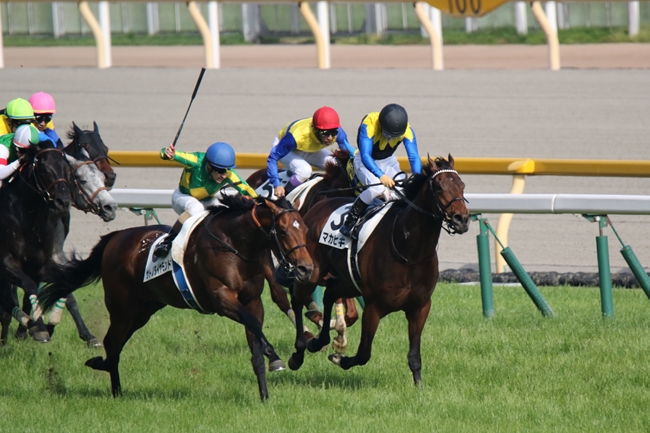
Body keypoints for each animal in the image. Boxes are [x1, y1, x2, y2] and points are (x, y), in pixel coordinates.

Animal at [39, 194, 312, 400]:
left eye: (306, 229)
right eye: (284, 231)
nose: (305, 268)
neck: (234, 245)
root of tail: (115, 237)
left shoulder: (252, 302)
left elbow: (255, 341)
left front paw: (265, 393)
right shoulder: (222, 299)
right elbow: (254, 325)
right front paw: (275, 355)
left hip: (144, 310)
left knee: (116, 343)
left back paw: (107, 373)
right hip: (122, 307)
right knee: (112, 342)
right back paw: (113, 386)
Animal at [286, 156, 468, 384]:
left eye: (462, 186)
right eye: (440, 187)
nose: (462, 219)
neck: (410, 251)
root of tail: (319, 206)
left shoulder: (420, 307)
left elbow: (414, 356)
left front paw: (419, 386)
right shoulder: (374, 307)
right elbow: (364, 353)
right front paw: (339, 358)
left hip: (349, 282)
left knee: (330, 294)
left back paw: (320, 341)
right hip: (312, 271)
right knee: (297, 298)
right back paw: (299, 352)